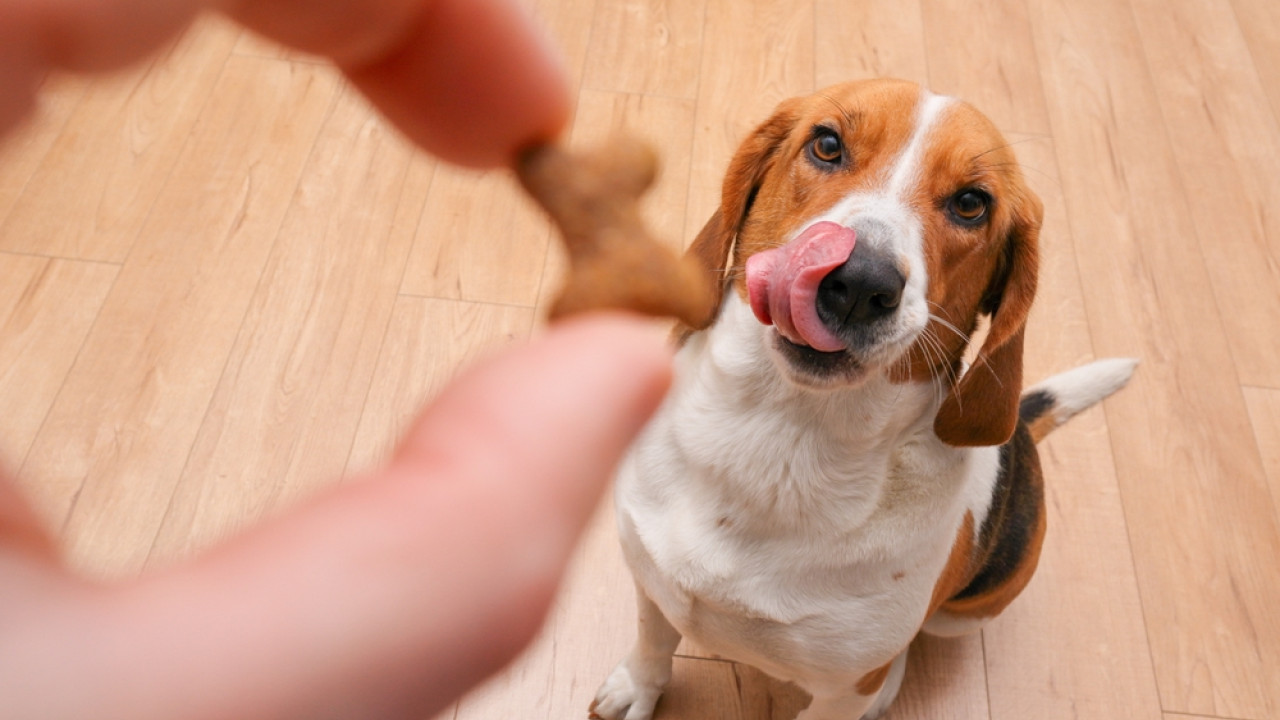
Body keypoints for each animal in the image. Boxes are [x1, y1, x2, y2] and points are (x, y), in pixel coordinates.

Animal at [586, 78, 1136, 717]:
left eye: (971, 204)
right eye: (827, 144)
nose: (860, 283)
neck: (780, 434)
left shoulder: (843, 689)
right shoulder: (649, 576)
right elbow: (653, 639)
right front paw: (637, 688)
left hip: (963, 614)